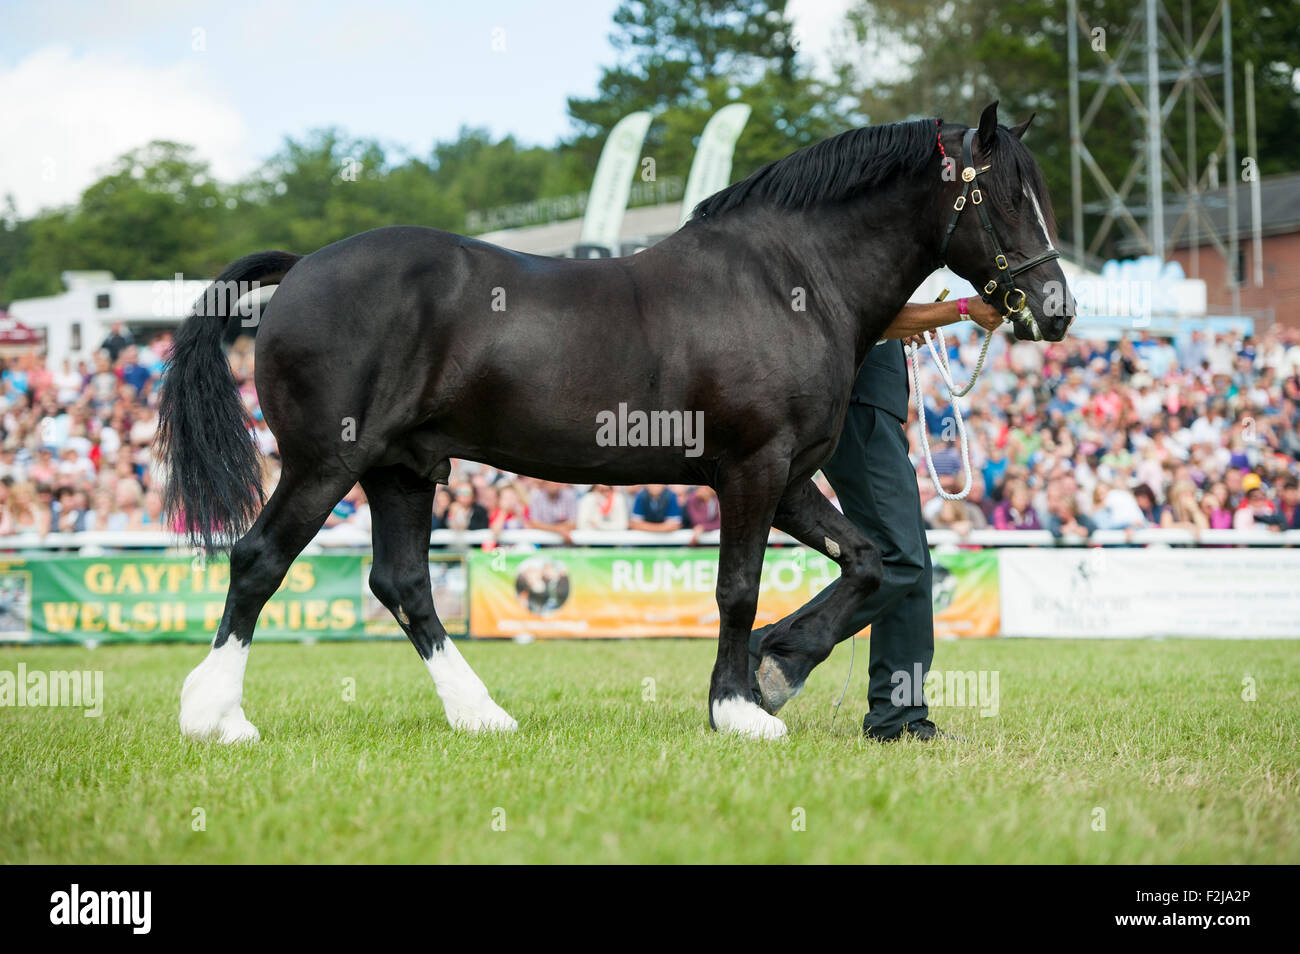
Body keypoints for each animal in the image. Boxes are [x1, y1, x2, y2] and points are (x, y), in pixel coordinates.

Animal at [162, 104, 1071, 748]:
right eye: (1000, 196)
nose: (1055, 310)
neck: (789, 280)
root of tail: (302, 268)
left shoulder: (786, 480)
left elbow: (872, 564)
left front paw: (778, 666)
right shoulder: (751, 470)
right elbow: (737, 589)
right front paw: (740, 708)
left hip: (404, 470)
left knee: (403, 584)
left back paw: (481, 715)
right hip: (326, 462)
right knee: (260, 559)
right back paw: (217, 717)